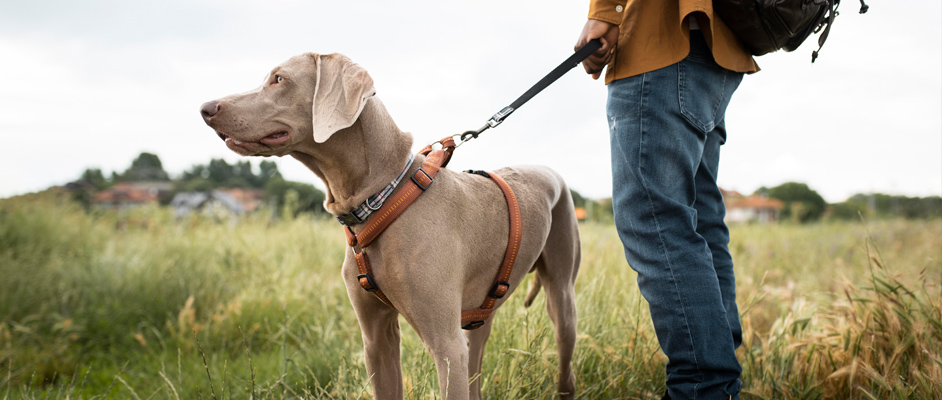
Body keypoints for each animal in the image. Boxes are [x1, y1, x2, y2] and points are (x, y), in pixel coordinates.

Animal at [200, 53, 584, 400]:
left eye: (279, 79)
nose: (205, 108)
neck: (381, 199)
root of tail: (549, 170)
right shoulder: (376, 339)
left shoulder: (446, 346)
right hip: (479, 317)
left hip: (562, 301)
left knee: (565, 363)